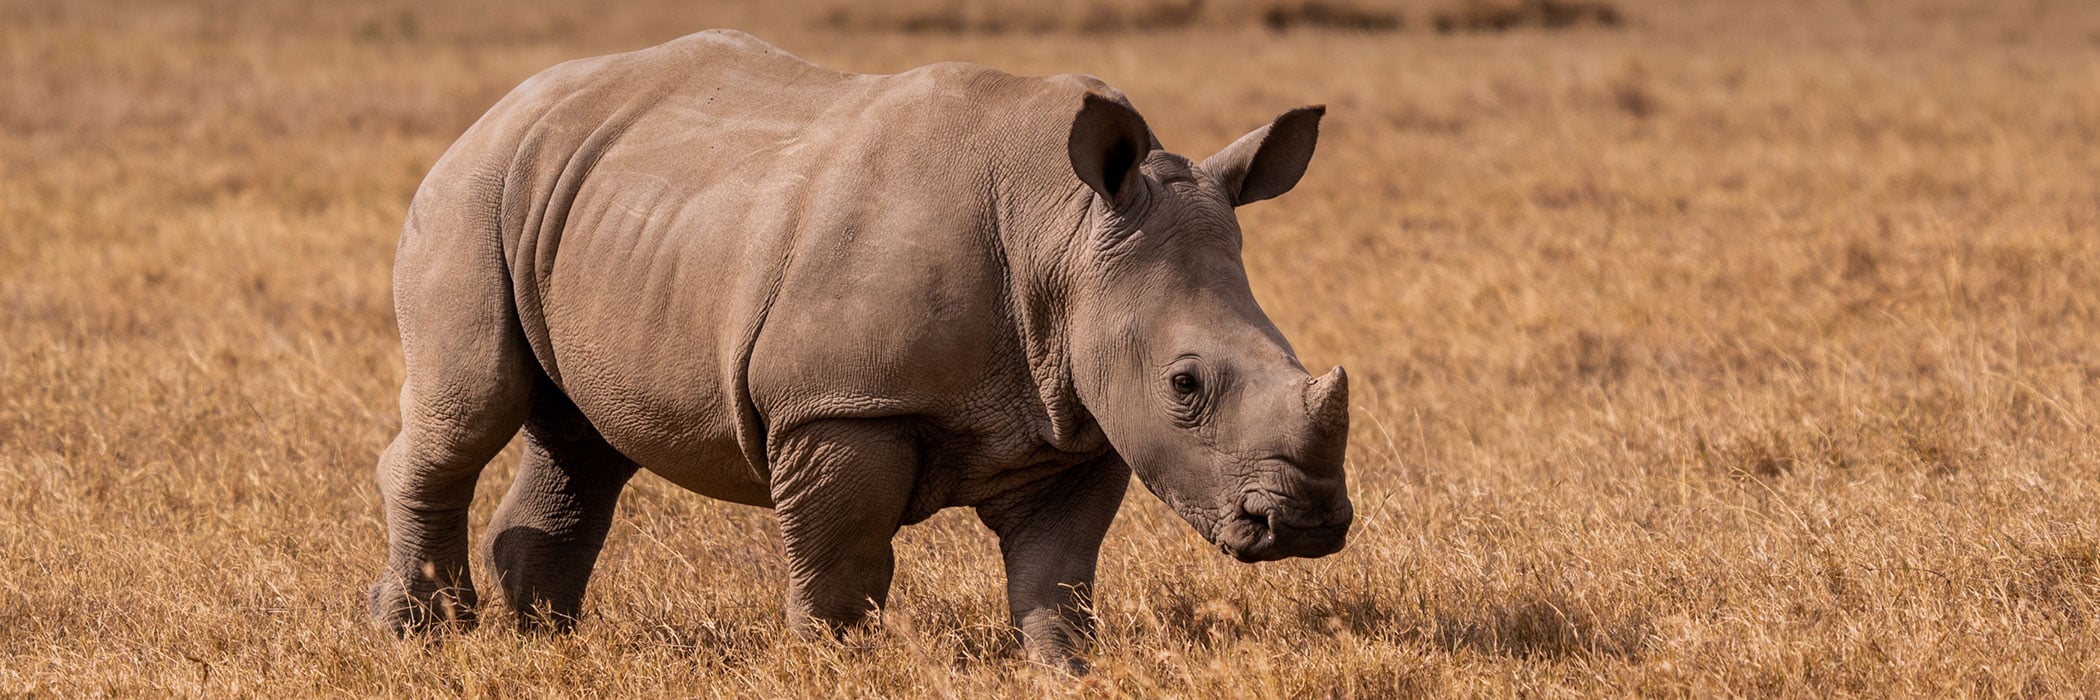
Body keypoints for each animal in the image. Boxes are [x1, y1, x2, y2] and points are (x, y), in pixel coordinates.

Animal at [368, 29, 1352, 671]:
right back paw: (416, 636)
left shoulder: (1079, 412)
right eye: (1186, 384)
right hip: (473, 188)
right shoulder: (839, 404)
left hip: (590, 204)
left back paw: (546, 643)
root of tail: (505, 105)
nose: (1305, 524)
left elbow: (1059, 574)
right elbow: (842, 559)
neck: (1066, 237)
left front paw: (1068, 672)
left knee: (584, 442)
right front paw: (833, 667)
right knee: (473, 410)